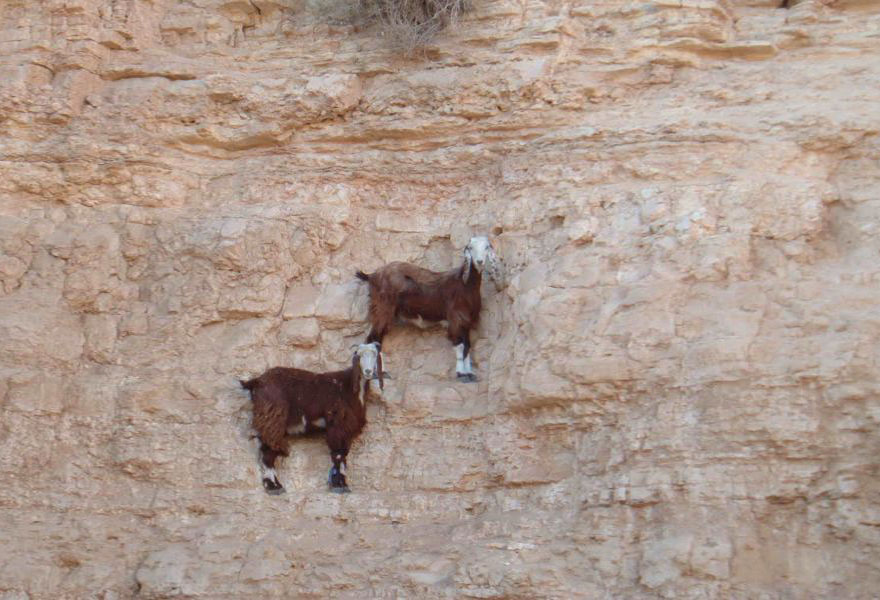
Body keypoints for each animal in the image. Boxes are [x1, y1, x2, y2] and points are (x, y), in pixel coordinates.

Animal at [239, 342, 383, 494]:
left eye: (375, 354)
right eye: (359, 355)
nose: (368, 371)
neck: (348, 387)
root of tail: (256, 381)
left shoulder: (347, 429)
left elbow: (343, 455)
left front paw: (341, 484)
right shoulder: (337, 425)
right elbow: (338, 455)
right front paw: (339, 486)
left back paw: (275, 485)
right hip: (272, 420)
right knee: (268, 453)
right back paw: (274, 487)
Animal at [355, 236, 502, 382]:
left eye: (486, 247)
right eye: (471, 247)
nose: (479, 261)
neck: (465, 285)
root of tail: (372, 275)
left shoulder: (466, 322)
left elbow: (467, 346)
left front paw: (470, 374)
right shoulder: (456, 318)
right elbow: (460, 346)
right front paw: (461, 374)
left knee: (377, 339)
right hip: (382, 309)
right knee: (373, 338)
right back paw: (377, 374)